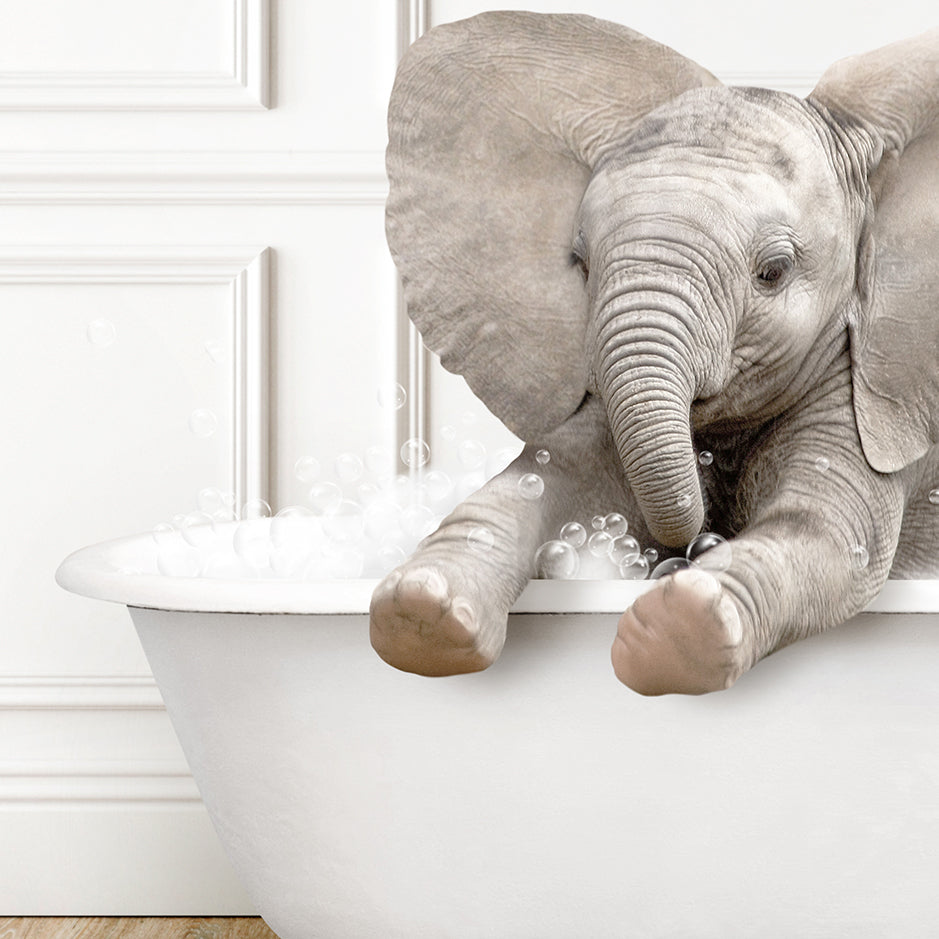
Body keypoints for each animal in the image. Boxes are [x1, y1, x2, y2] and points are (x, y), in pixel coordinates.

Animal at [370, 11, 936, 692]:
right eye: (581, 265)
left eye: (773, 272)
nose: (689, 550)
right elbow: (546, 480)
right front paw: (420, 612)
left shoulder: (881, 389)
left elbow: (831, 533)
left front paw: (680, 628)